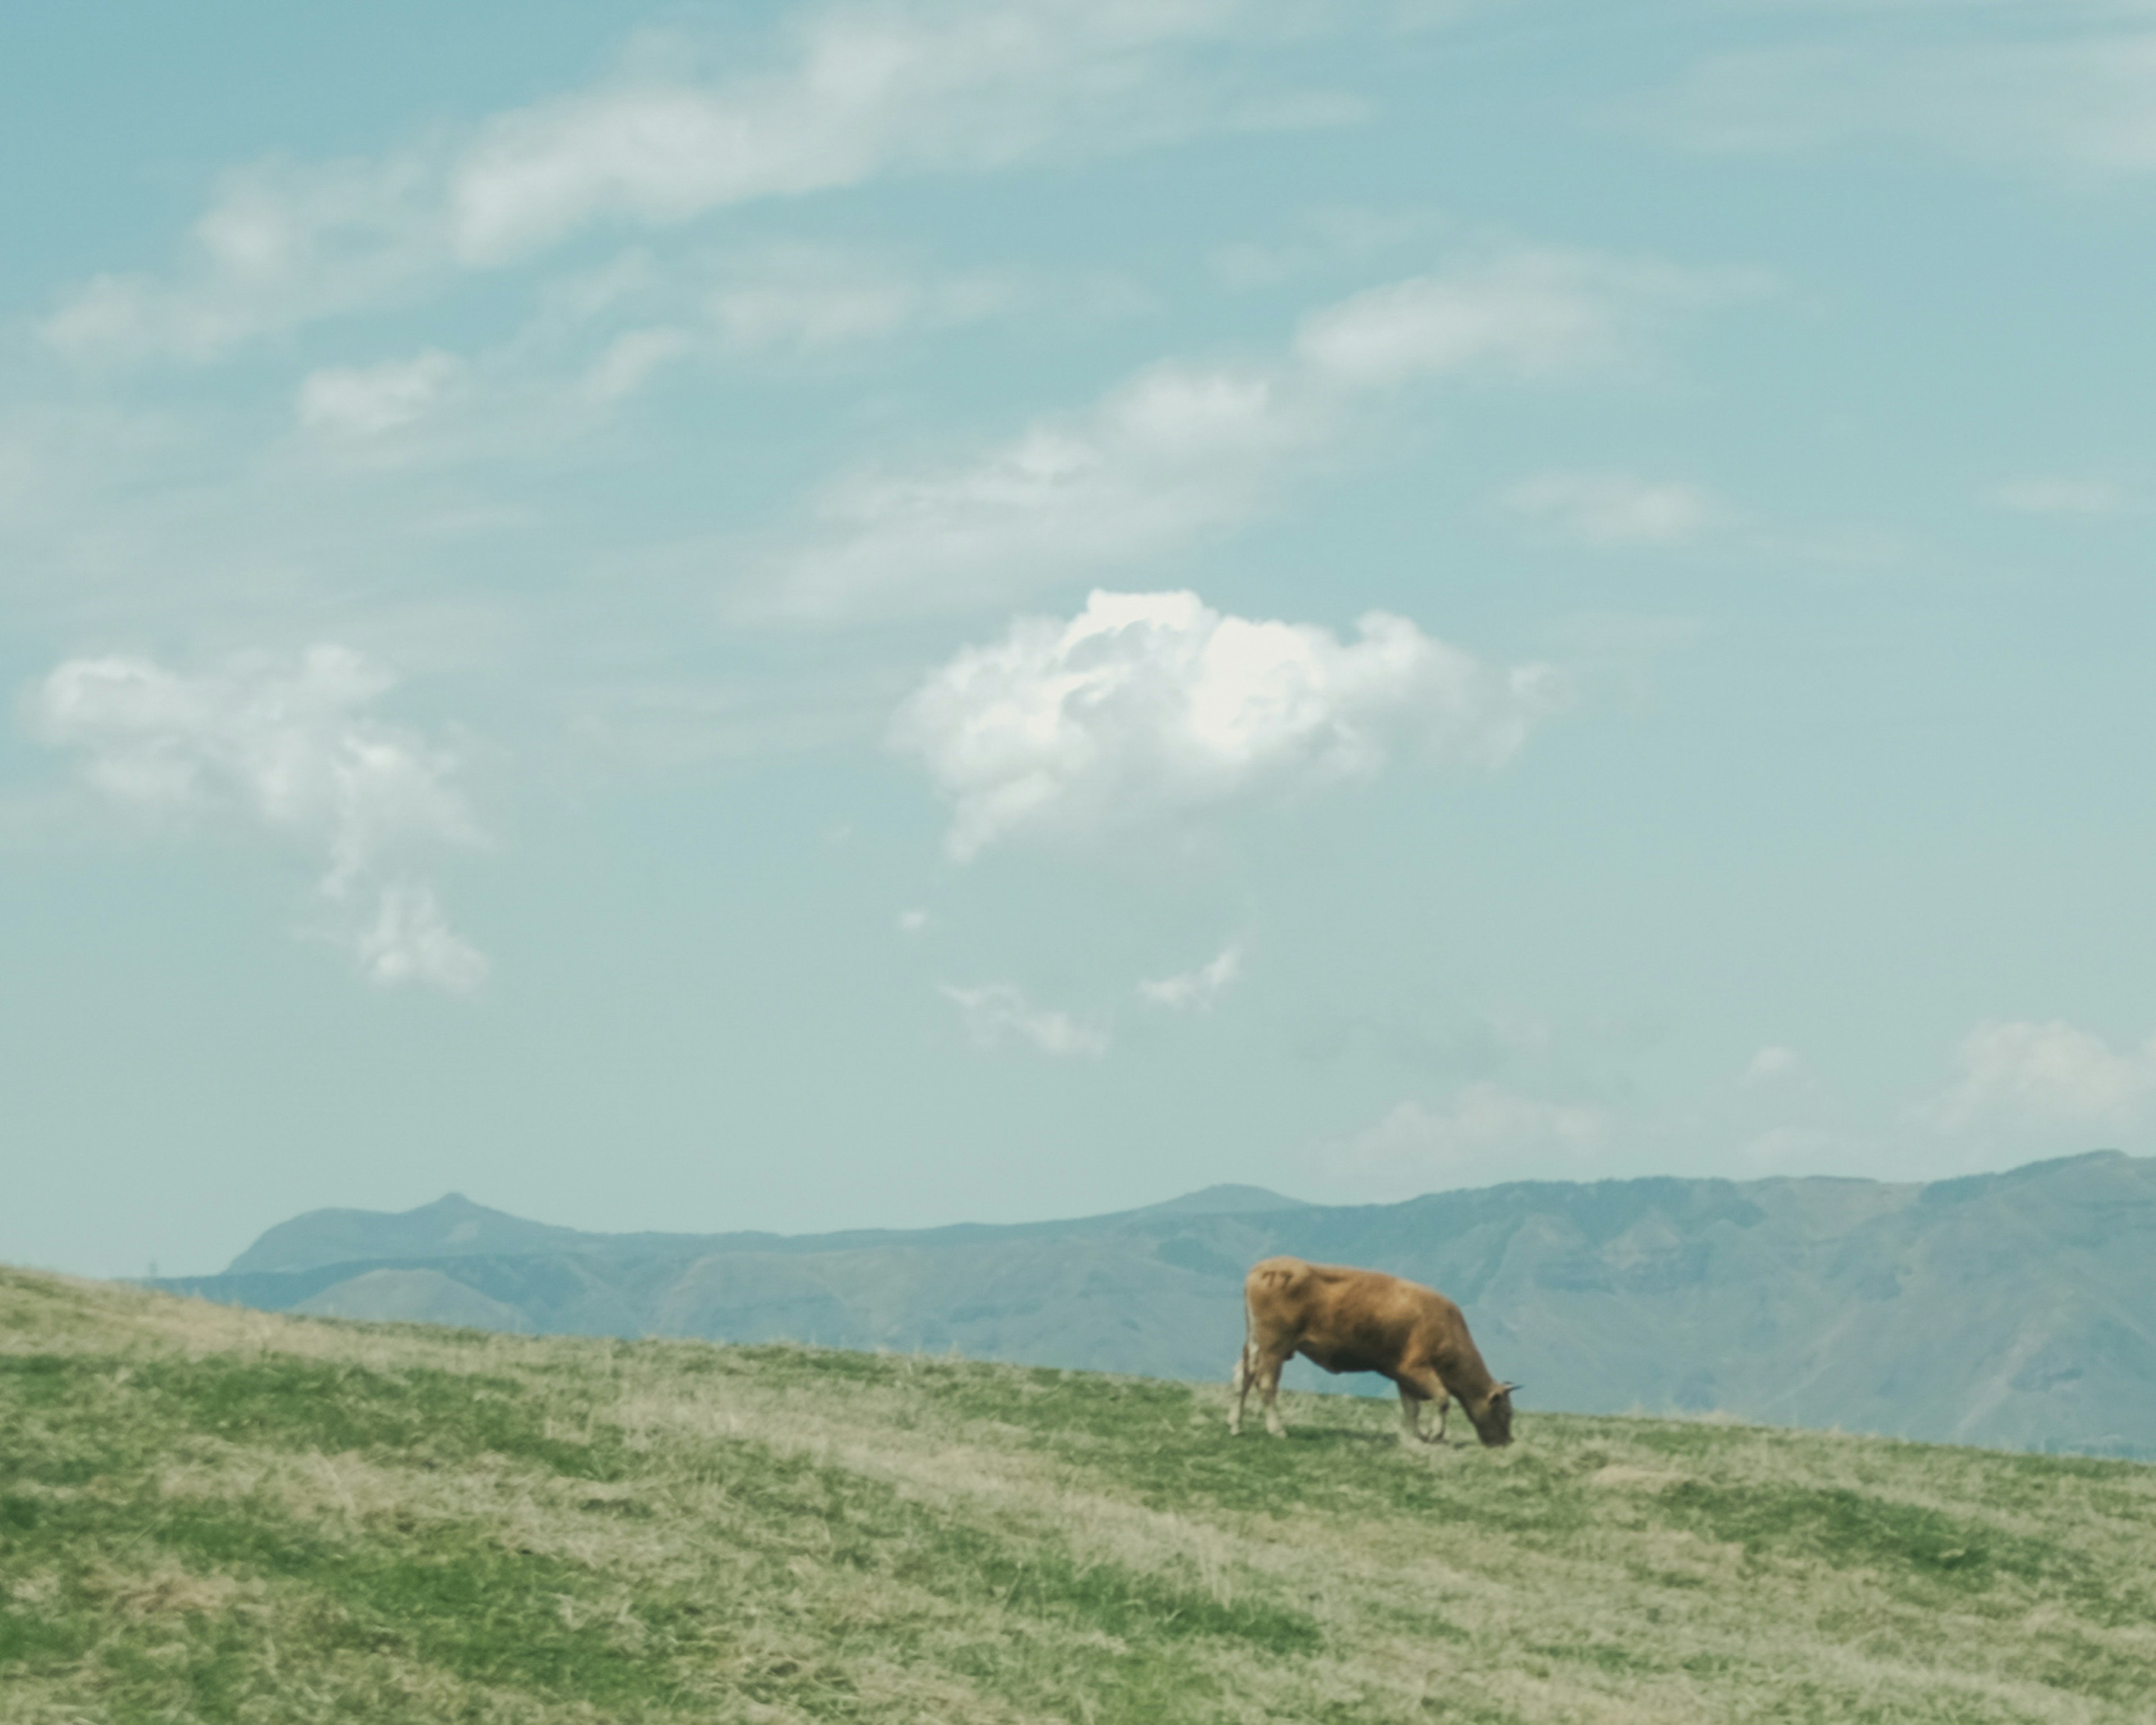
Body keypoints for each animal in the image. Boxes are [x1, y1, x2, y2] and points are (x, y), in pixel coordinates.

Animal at [1233, 1251, 1518, 1440]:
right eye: (1506, 1413)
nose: (1506, 1441)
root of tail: (1262, 1269)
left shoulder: (1403, 1376)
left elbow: (1412, 1408)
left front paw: (1416, 1435)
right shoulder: (1417, 1369)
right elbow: (1442, 1398)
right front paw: (1435, 1434)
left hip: (1256, 1345)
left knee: (1243, 1376)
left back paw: (1236, 1426)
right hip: (1274, 1348)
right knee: (1265, 1383)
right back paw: (1277, 1429)